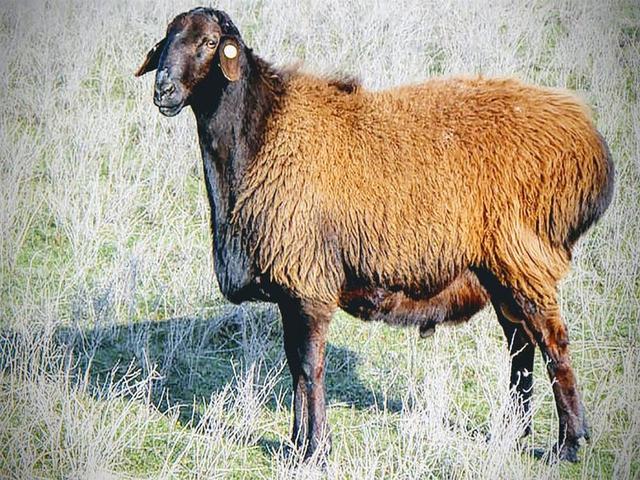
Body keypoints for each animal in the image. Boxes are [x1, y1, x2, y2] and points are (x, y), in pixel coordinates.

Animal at [136, 7, 614, 463]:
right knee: (520, 345)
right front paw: (297, 444)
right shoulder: (292, 287)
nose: (162, 90)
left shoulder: (308, 281)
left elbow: (309, 367)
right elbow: (295, 367)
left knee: (553, 343)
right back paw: (513, 432)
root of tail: (587, 140)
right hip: (500, 269)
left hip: (523, 256)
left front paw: (316, 450)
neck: (261, 132)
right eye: (167, 39)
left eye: (210, 43)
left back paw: (570, 444)